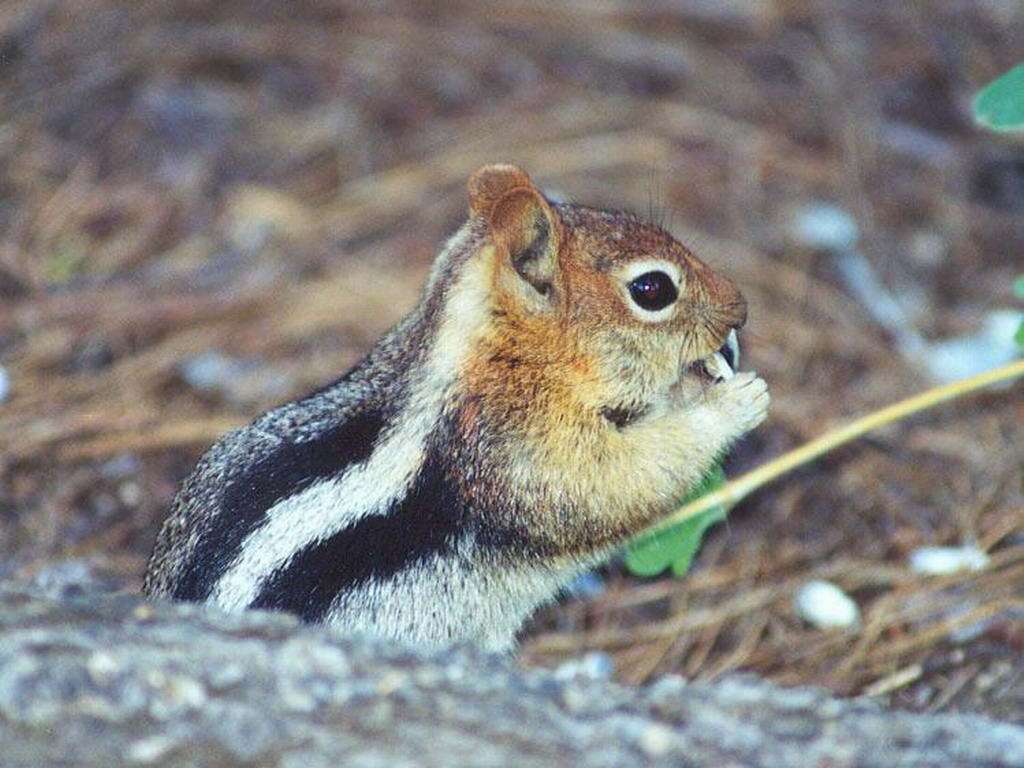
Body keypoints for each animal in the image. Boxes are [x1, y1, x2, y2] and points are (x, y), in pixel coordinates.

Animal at [142, 165, 770, 651]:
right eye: (653, 290)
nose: (740, 309)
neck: (493, 353)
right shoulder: (517, 446)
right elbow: (617, 482)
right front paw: (733, 401)